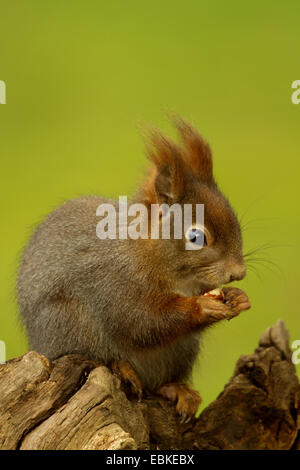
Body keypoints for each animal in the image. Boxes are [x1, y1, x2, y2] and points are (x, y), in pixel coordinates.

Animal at [17, 119, 251, 420]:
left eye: (236, 223)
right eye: (196, 237)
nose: (238, 273)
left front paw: (238, 298)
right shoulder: (113, 279)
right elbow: (139, 320)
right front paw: (202, 307)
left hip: (182, 351)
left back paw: (177, 390)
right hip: (69, 325)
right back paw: (122, 368)